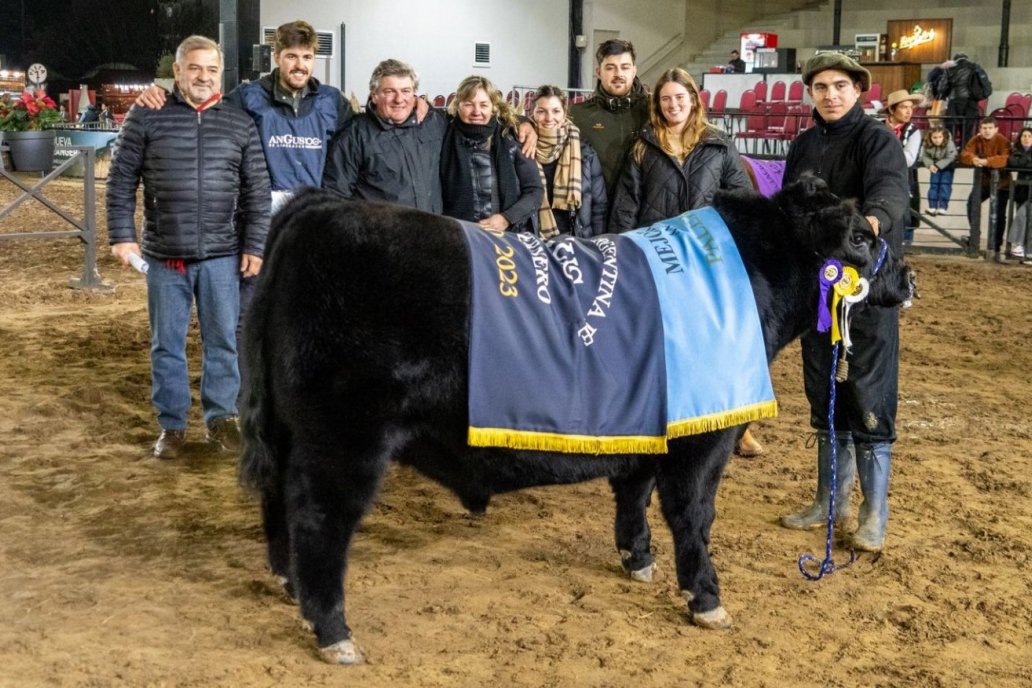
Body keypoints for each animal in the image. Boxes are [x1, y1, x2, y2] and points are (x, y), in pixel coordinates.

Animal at [236, 180, 912, 664]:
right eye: (859, 238)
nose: (907, 277)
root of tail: (321, 206)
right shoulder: (701, 441)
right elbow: (692, 515)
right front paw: (706, 598)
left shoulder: (648, 428)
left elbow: (634, 496)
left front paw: (638, 561)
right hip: (344, 438)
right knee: (319, 520)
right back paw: (333, 631)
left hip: (290, 432)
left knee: (278, 503)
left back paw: (289, 585)